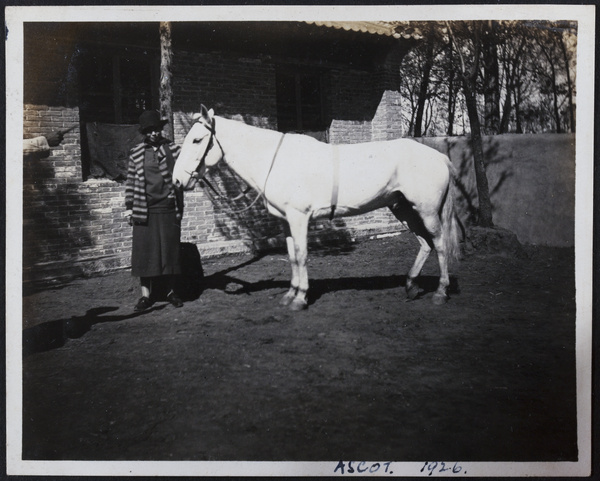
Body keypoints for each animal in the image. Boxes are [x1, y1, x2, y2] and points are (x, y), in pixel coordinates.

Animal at [172, 105, 460, 312]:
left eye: (197, 140)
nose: (177, 181)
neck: (276, 161)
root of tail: (440, 157)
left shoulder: (299, 218)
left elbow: (301, 256)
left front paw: (300, 299)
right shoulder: (287, 221)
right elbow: (291, 257)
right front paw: (289, 295)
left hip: (426, 211)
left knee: (439, 244)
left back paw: (440, 292)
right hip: (403, 209)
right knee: (424, 244)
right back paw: (411, 286)